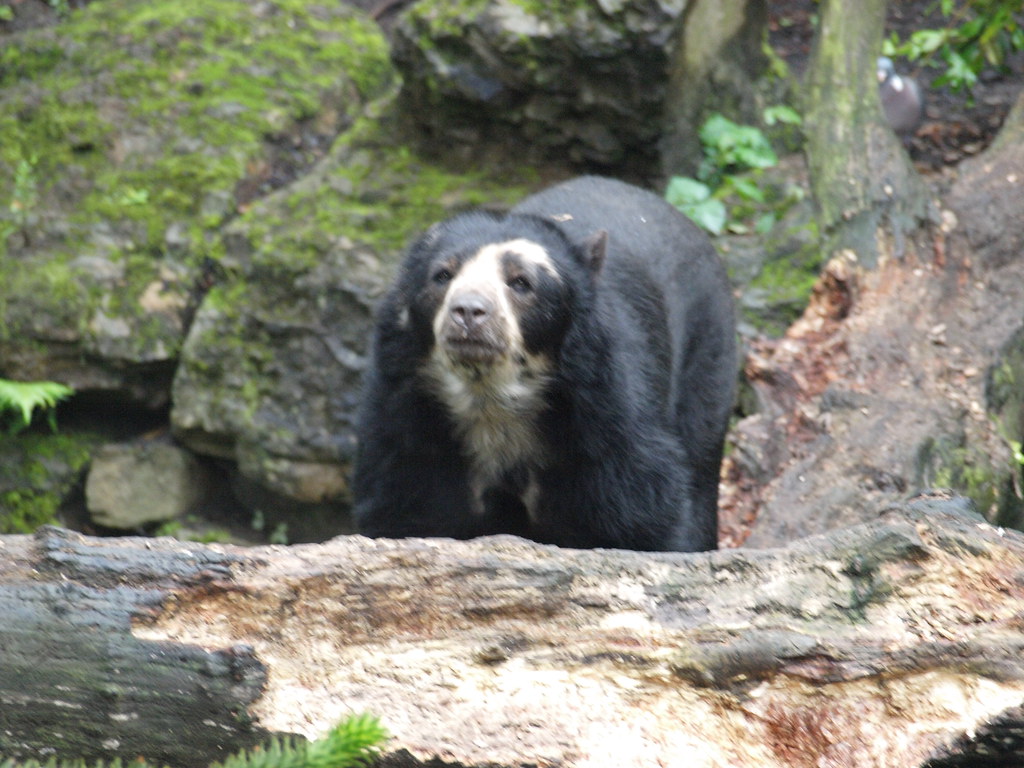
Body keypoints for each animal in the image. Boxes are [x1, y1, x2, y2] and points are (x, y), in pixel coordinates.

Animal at [352, 176, 736, 552]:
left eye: (521, 282)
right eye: (442, 275)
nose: (469, 311)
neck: (493, 401)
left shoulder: (606, 426)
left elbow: (642, 513)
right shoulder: (408, 429)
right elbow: (407, 507)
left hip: (706, 352)